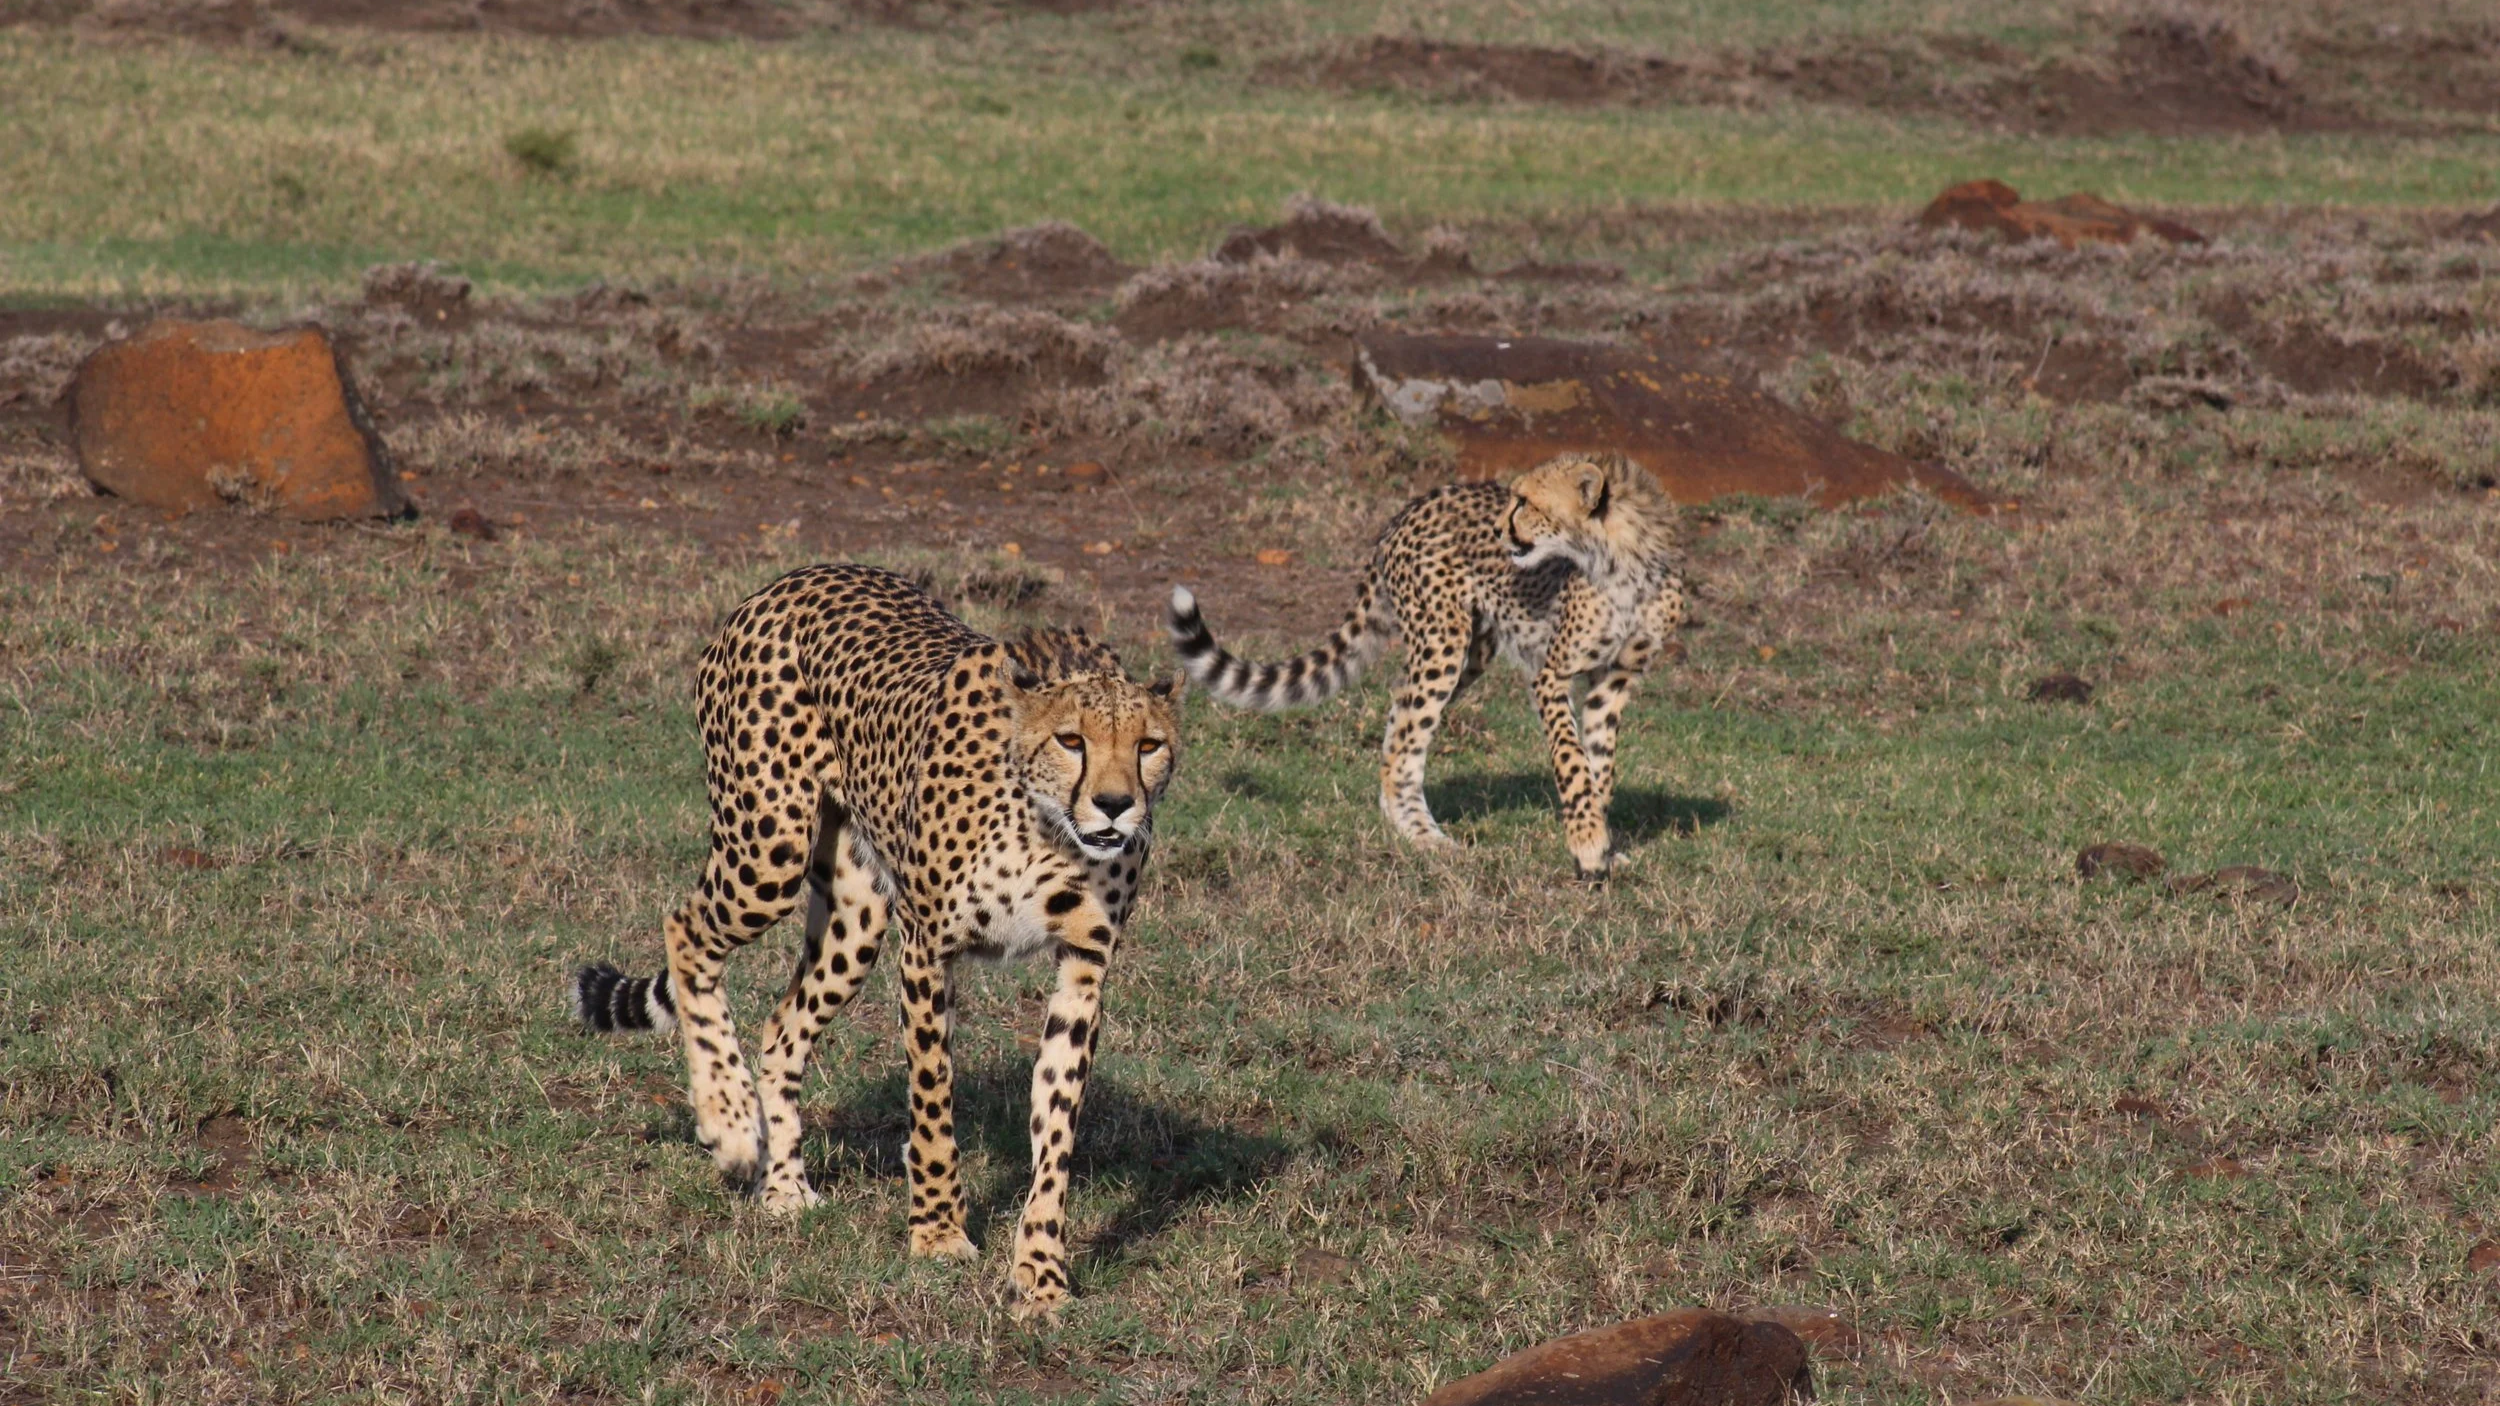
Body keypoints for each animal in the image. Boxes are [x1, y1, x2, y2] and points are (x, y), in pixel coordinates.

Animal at [570, 563, 1180, 1317]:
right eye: (1072, 740)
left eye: (1149, 745)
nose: (1117, 805)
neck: (1048, 829)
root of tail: (792, 580)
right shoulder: (926, 950)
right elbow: (933, 1102)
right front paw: (939, 1233)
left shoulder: (1085, 968)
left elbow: (1057, 1127)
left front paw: (1040, 1271)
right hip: (768, 852)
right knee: (685, 929)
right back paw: (730, 1121)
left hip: (855, 916)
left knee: (782, 1027)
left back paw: (783, 1186)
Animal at [1167, 451, 1685, 879]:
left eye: (1524, 502)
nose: (1499, 531)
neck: (1622, 562)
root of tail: (1409, 508)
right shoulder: (1551, 673)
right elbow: (1572, 761)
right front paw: (1589, 843)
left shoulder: (1613, 681)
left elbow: (1601, 764)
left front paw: (1601, 842)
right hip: (1442, 641)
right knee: (1407, 735)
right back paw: (1420, 834)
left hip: (1469, 652)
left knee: (1399, 715)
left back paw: (1399, 818)